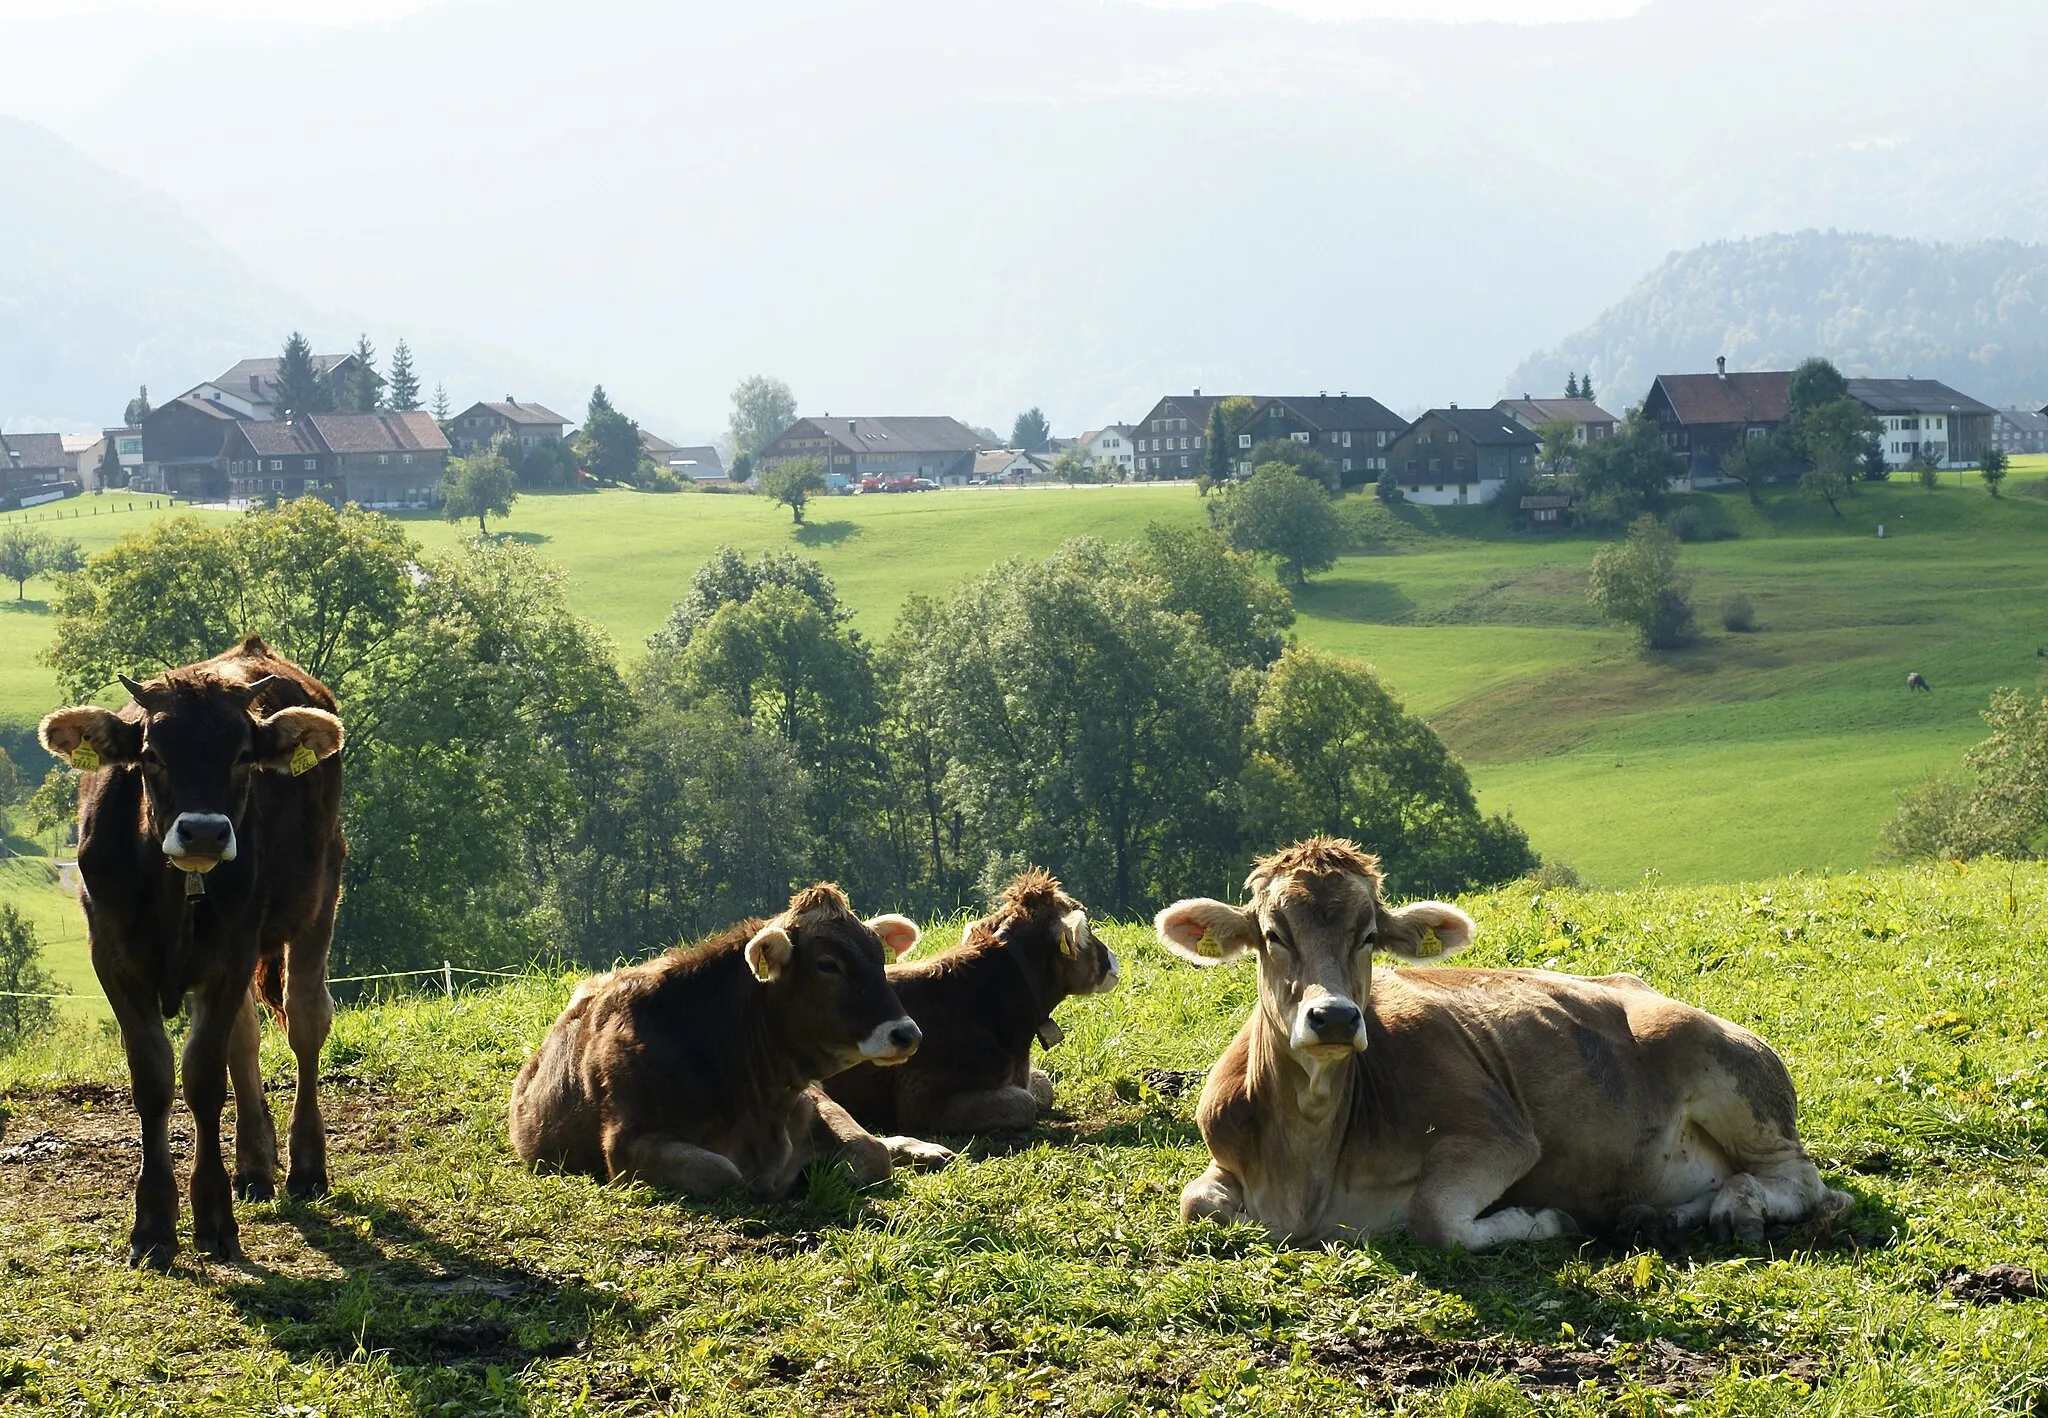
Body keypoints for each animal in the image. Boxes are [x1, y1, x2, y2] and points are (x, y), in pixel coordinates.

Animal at [39, 635, 346, 1270]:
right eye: (152, 754)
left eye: (243, 756)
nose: (204, 832)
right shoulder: (113, 959)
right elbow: (155, 1079)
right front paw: (155, 1225)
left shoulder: (232, 954)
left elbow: (203, 1077)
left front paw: (213, 1218)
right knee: (246, 1040)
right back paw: (255, 1165)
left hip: (320, 892)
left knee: (306, 1020)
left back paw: (305, 1165)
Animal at [512, 885, 958, 1196]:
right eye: (828, 965)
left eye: (880, 959)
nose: (907, 1034)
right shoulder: (625, 1144)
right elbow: (723, 1172)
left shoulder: (812, 1099)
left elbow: (871, 1152)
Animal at [1163, 836, 1851, 1245]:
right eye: (1273, 934)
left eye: (1368, 936)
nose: (1333, 1017)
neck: (1304, 1173)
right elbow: (1194, 1202)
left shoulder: (1501, 1136)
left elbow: (1434, 1219)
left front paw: (1541, 1219)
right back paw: (1658, 1216)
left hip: (1725, 1073)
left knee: (1800, 1178)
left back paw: (1737, 1206)